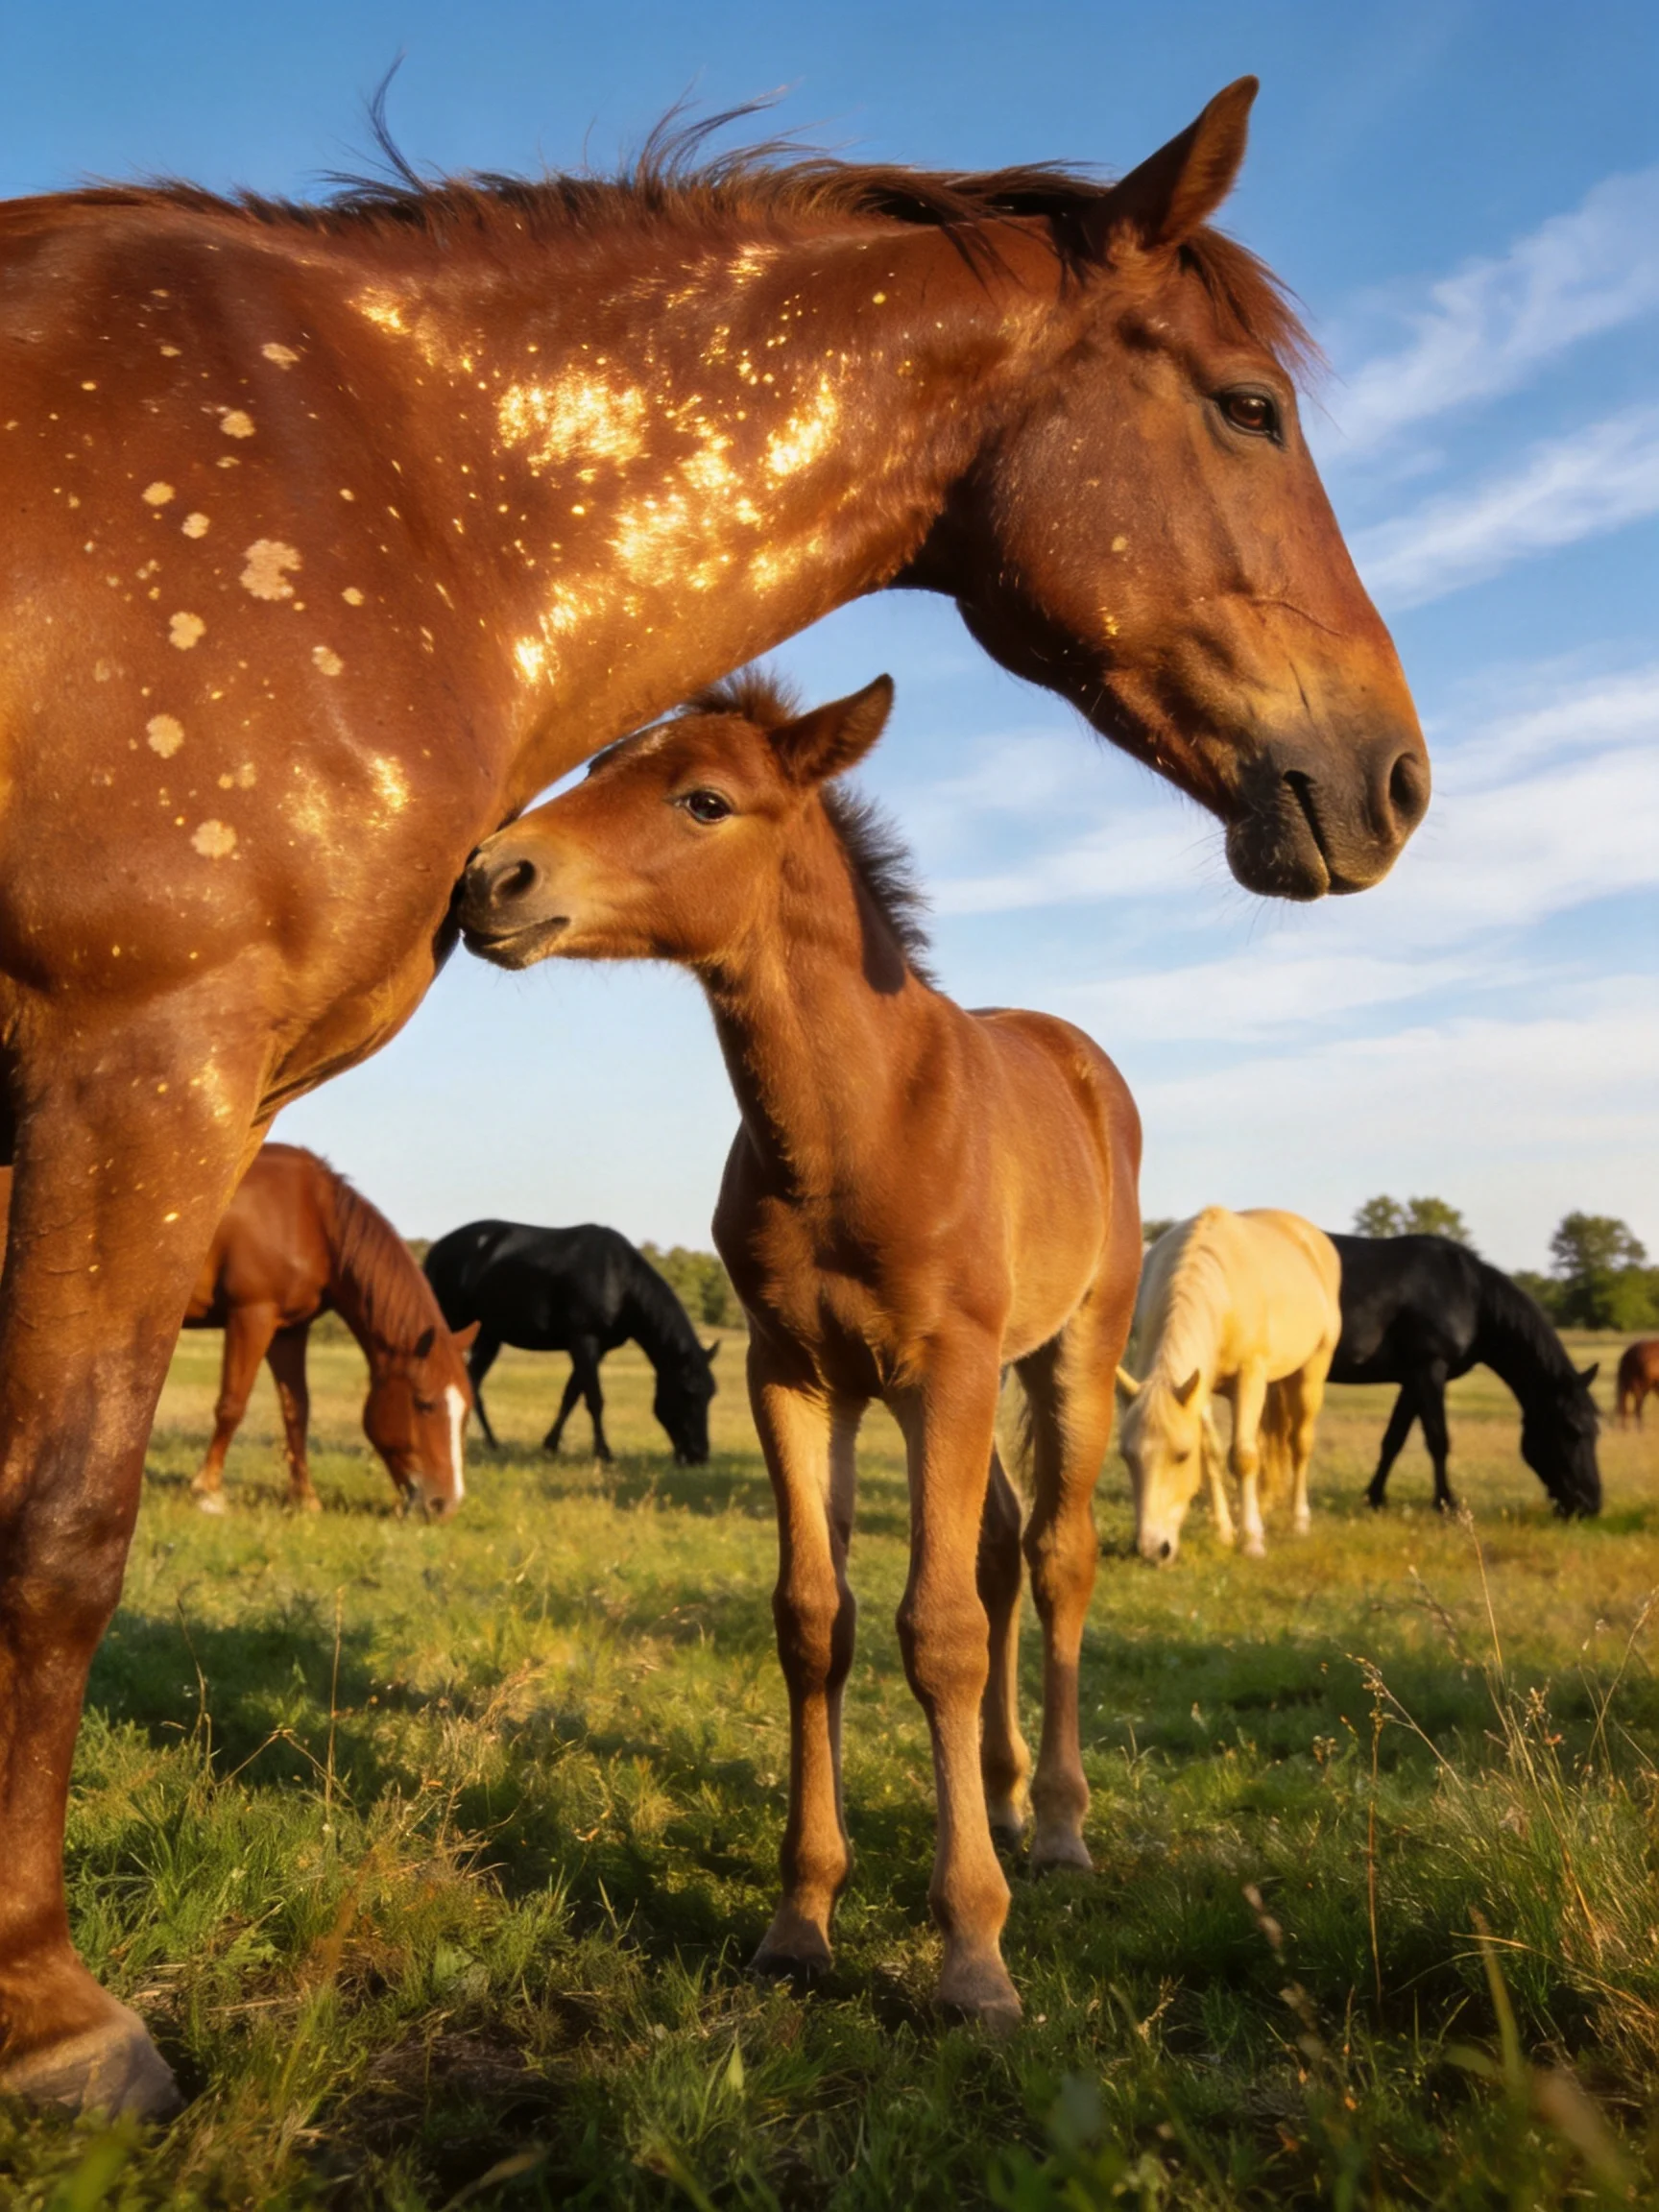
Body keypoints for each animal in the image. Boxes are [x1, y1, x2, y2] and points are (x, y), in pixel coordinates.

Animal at [424, 1220, 717, 1463]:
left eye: (711, 1394)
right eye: (688, 1392)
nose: (699, 1455)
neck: (617, 1278)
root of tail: (436, 1250)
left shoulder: (596, 1349)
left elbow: (572, 1395)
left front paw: (551, 1444)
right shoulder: (584, 1341)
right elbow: (594, 1398)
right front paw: (603, 1452)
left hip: (488, 1337)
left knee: (471, 1381)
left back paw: (486, 1442)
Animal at [457, 669, 1142, 2032]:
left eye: (704, 800)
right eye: (603, 763)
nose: (490, 878)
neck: (857, 1128)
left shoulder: (942, 1372)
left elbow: (939, 1630)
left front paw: (972, 1956)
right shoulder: (795, 1377)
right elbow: (814, 1620)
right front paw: (800, 1920)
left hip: (1065, 1357)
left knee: (1056, 1556)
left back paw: (1054, 1828)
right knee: (1000, 1548)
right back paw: (998, 1795)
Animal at [1116, 1209, 1342, 1562]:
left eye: (1181, 1455)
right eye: (1126, 1456)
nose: (1154, 1549)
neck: (1222, 1294)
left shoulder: (1249, 1377)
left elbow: (1243, 1456)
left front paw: (1251, 1540)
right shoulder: (1200, 1385)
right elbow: (1212, 1453)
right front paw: (1223, 1530)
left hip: (1312, 1371)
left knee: (1300, 1443)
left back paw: (1298, 1520)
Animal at [1329, 1235, 1601, 1514]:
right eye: (1572, 1430)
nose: (1590, 1505)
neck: (1470, 1294)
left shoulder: (1412, 1379)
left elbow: (1394, 1439)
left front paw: (1374, 1498)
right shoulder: (1430, 1368)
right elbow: (1438, 1440)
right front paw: (1445, 1503)